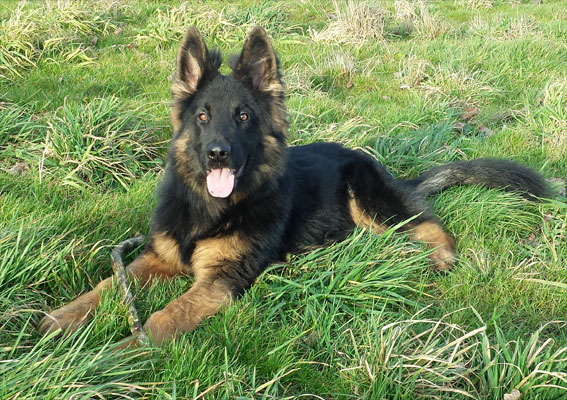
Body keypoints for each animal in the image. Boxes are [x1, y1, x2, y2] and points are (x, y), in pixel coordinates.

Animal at [38, 26, 550, 346]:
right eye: (202, 116)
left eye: (243, 116)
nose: (218, 153)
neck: (213, 209)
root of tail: (374, 162)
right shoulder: (155, 257)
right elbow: (108, 284)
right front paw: (58, 320)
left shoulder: (221, 282)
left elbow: (164, 317)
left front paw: (120, 353)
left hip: (370, 201)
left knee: (429, 224)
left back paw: (440, 255)